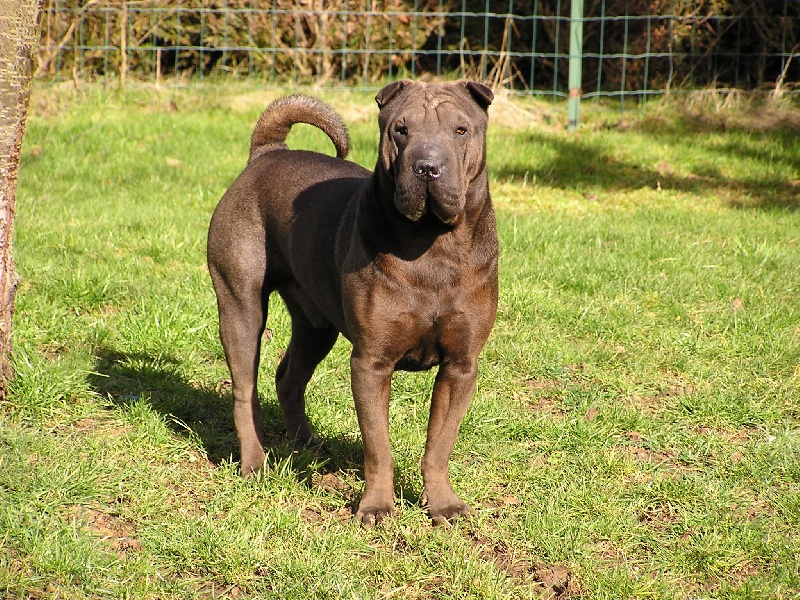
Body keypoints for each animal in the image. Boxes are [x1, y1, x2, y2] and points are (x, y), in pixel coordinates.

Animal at [206, 79, 494, 524]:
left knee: (289, 375)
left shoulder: (460, 367)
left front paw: (443, 505)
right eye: (401, 130)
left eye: (460, 130)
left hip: (315, 324)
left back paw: (306, 442)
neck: (434, 245)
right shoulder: (371, 363)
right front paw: (376, 506)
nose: (428, 167)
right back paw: (255, 463)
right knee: (244, 388)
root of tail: (267, 154)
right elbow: (378, 447)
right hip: (241, 307)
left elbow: (439, 445)